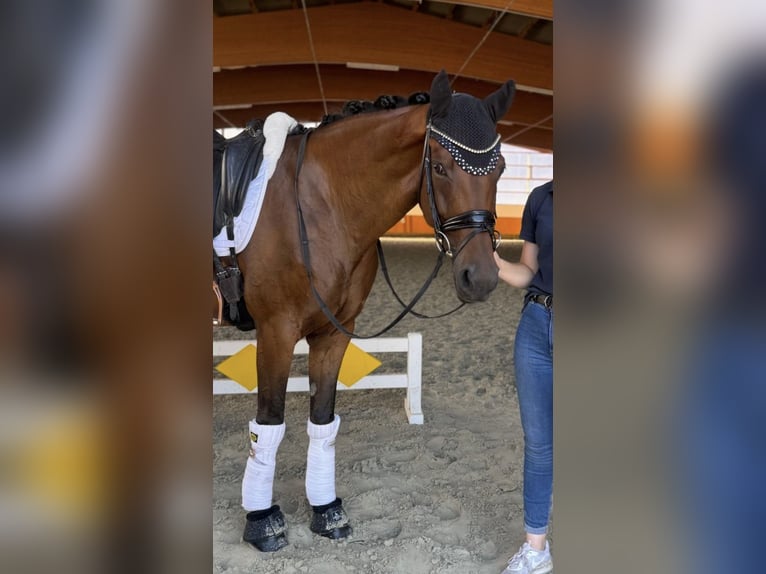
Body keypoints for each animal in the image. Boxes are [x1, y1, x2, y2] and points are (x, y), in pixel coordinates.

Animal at [236, 72, 516, 552]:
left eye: (498, 169)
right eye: (440, 167)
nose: (479, 277)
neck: (319, 205)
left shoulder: (334, 332)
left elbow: (323, 420)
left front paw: (326, 512)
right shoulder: (275, 331)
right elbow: (268, 423)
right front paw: (262, 522)